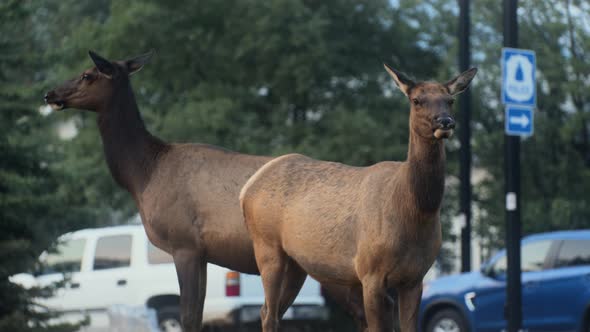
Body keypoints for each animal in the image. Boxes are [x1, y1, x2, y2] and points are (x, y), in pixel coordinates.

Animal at [44, 50, 370, 330]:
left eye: (87, 74)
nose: (50, 94)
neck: (141, 175)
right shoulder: (202, 254)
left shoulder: (184, 244)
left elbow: (189, 318)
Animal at [240, 65, 476, 332]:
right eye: (416, 100)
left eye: (450, 100)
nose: (445, 121)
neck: (414, 213)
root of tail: (247, 188)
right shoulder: (370, 272)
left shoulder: (415, 278)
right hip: (267, 246)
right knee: (268, 312)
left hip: (296, 264)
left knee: (273, 311)